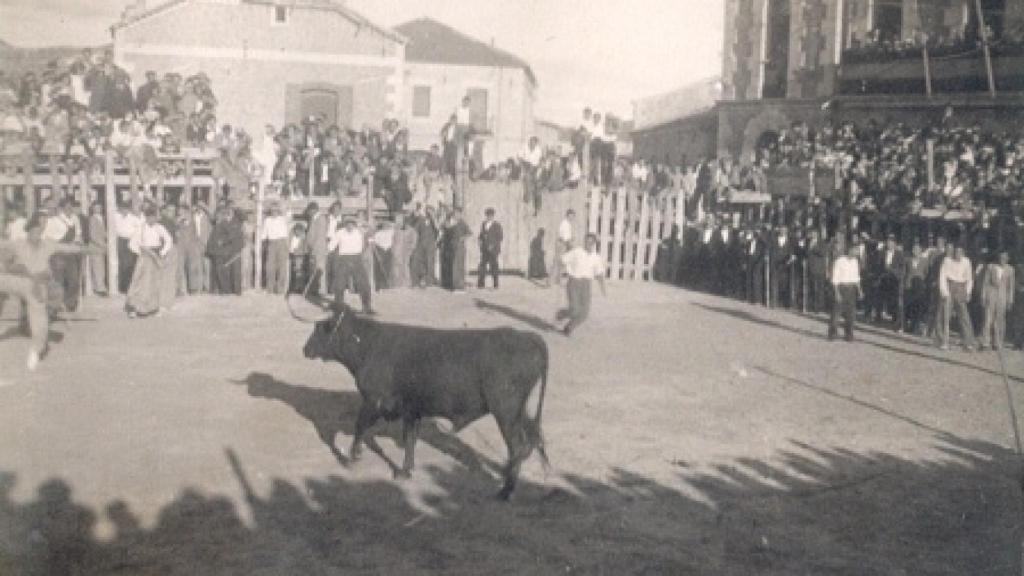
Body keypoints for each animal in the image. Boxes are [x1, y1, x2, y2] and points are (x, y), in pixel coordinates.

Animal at [299, 305, 548, 498]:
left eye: (319, 328)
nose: (305, 349)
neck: (368, 345)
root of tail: (529, 337)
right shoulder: (412, 410)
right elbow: (410, 439)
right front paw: (405, 471)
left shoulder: (373, 400)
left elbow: (360, 426)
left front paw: (352, 458)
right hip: (519, 410)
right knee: (529, 440)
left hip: (505, 410)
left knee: (518, 445)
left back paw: (506, 491)